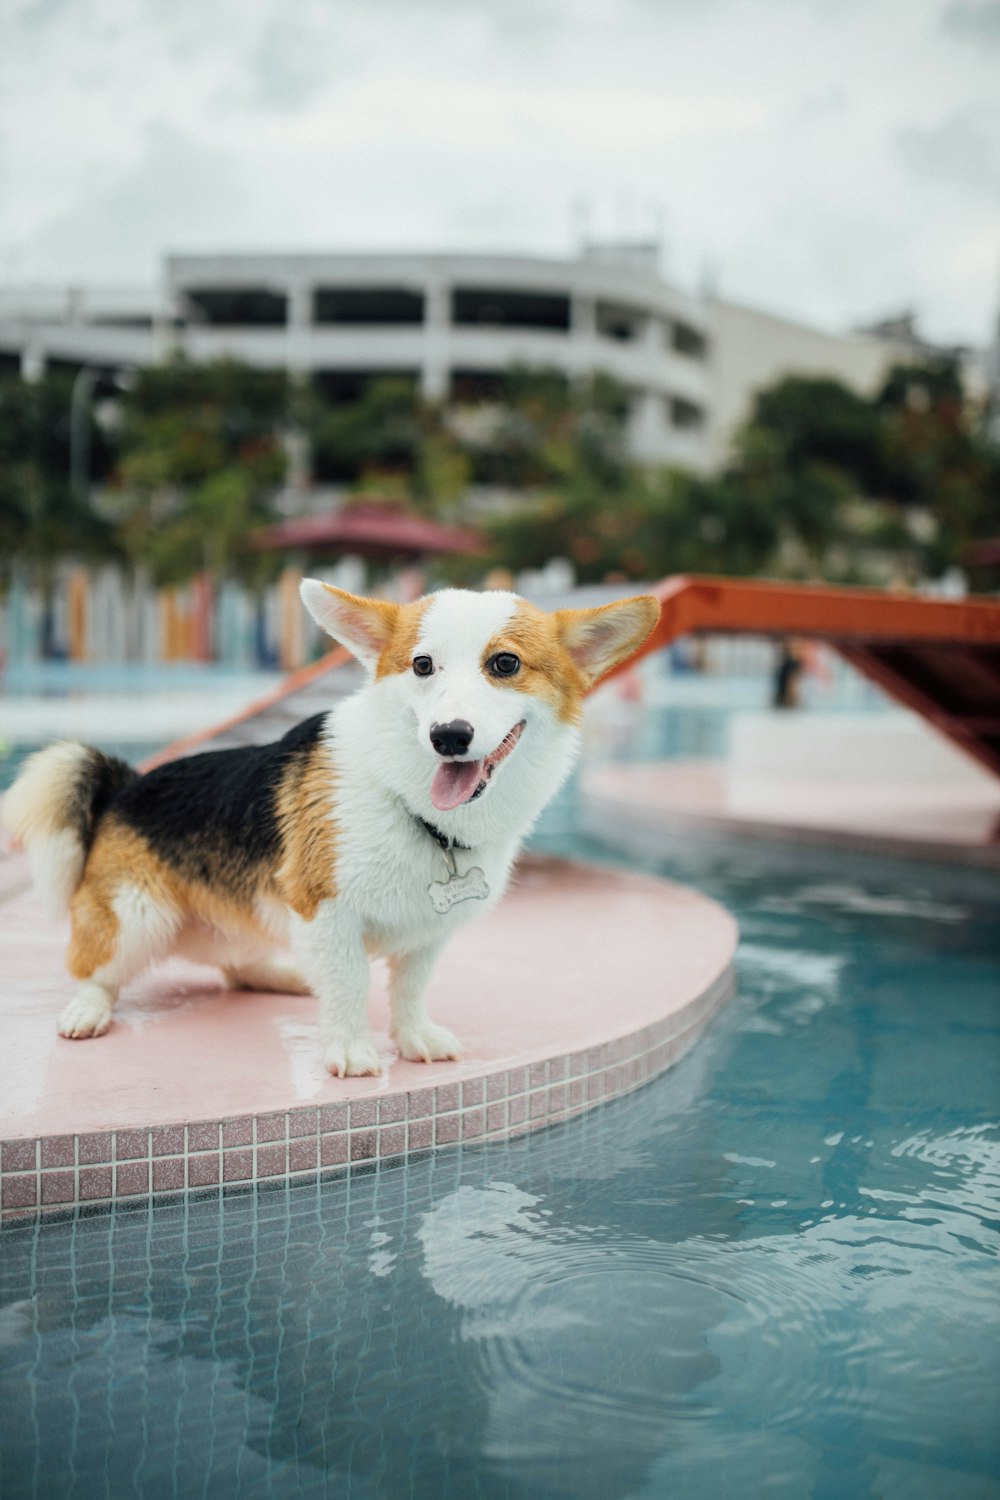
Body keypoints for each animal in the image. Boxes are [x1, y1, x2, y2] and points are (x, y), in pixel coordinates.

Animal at [3, 579, 659, 1074]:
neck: (414, 805)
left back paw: (283, 975)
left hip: (247, 912)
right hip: (138, 916)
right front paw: (351, 1051)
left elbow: (410, 988)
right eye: (422, 665)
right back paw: (87, 1011)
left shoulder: (428, 932)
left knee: (234, 965)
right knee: (95, 969)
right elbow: (349, 986)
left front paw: (414, 1038)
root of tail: (124, 785)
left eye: (506, 664)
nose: (448, 736)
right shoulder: (325, 910)